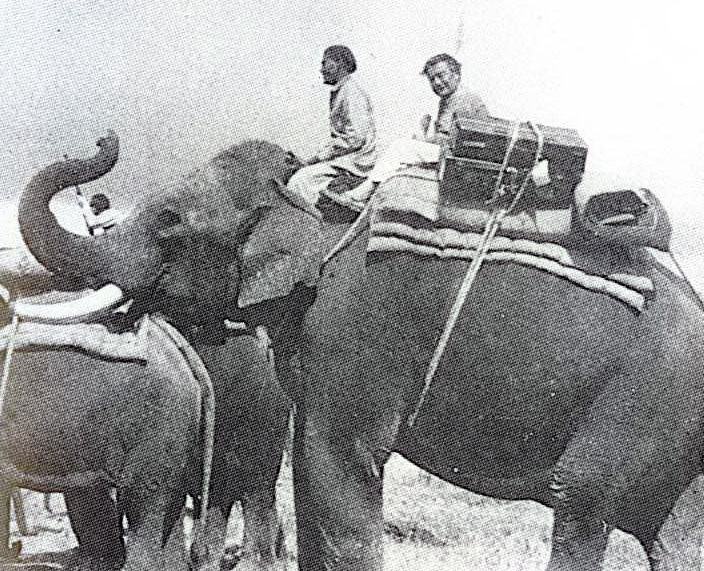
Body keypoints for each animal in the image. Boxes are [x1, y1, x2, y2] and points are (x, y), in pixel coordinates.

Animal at [16, 131, 704, 571]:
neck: (314, 199)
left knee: (582, 498)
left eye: (169, 223)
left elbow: (339, 461)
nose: (105, 138)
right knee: (674, 536)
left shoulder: (353, 323)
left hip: (644, 398)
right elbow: (309, 469)